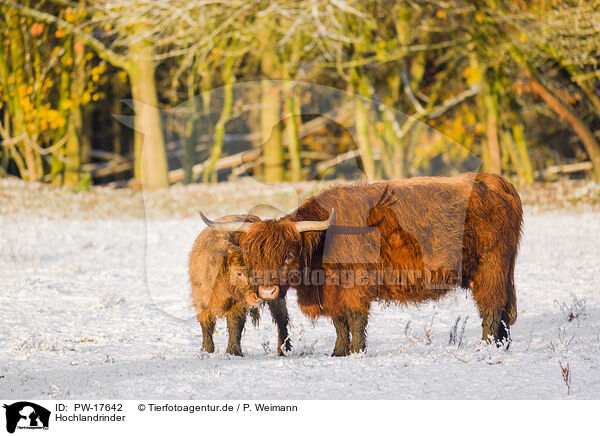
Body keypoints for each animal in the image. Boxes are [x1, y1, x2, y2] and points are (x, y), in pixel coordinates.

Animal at [188, 215, 290, 358]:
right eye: (239, 273)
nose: (258, 294)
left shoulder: (238, 304)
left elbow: (235, 325)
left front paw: (233, 351)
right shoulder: (201, 300)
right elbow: (207, 325)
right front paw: (206, 350)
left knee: (281, 318)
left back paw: (284, 349)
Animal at [200, 172, 520, 356]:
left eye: (288, 255)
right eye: (252, 257)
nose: (267, 291)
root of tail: (494, 181)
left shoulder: (355, 285)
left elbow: (355, 319)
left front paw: (355, 351)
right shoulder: (332, 291)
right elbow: (339, 322)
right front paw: (338, 352)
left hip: (490, 266)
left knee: (491, 307)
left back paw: (486, 346)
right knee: (503, 309)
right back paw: (502, 344)